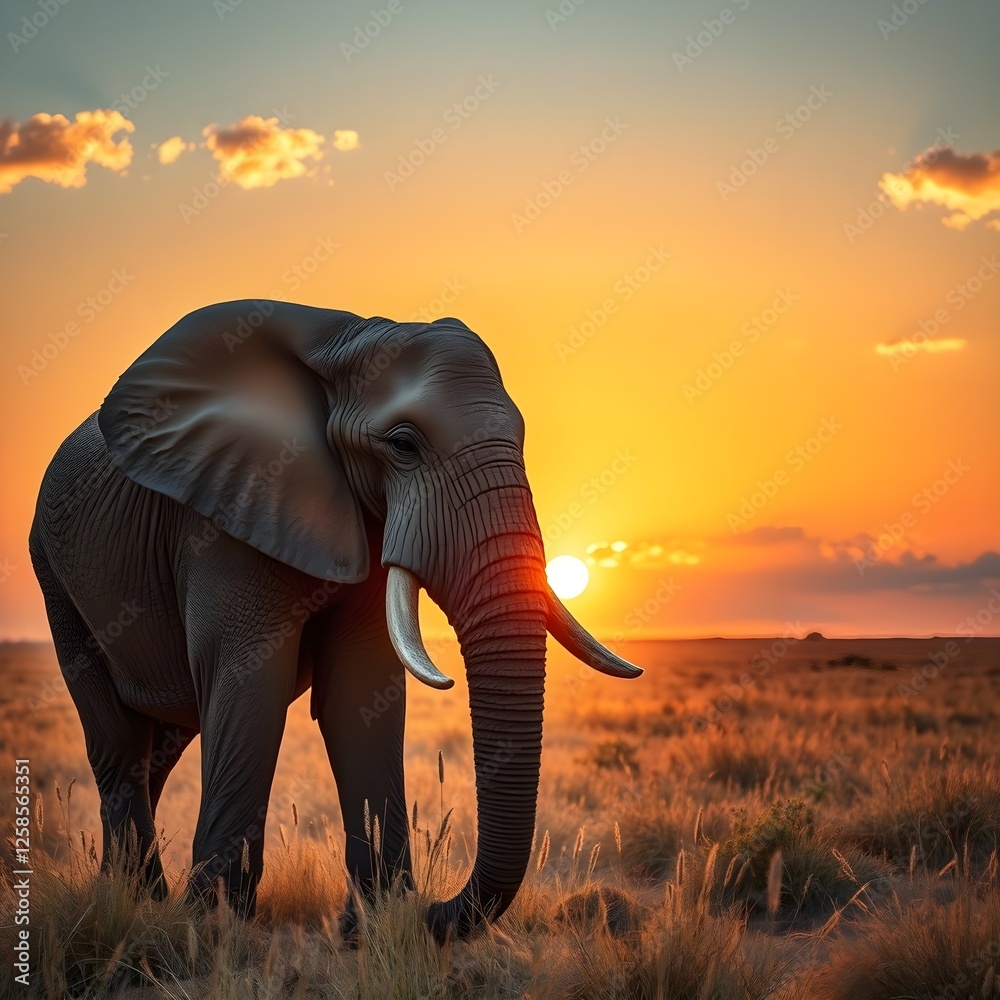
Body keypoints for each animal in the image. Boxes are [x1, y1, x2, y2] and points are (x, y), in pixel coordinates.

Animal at [29, 298, 641, 940]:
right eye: (403, 445)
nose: (435, 909)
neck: (345, 341)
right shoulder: (226, 510)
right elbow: (250, 682)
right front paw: (214, 927)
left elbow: (361, 689)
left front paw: (374, 925)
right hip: (55, 577)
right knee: (119, 740)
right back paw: (135, 902)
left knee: (159, 746)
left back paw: (126, 896)